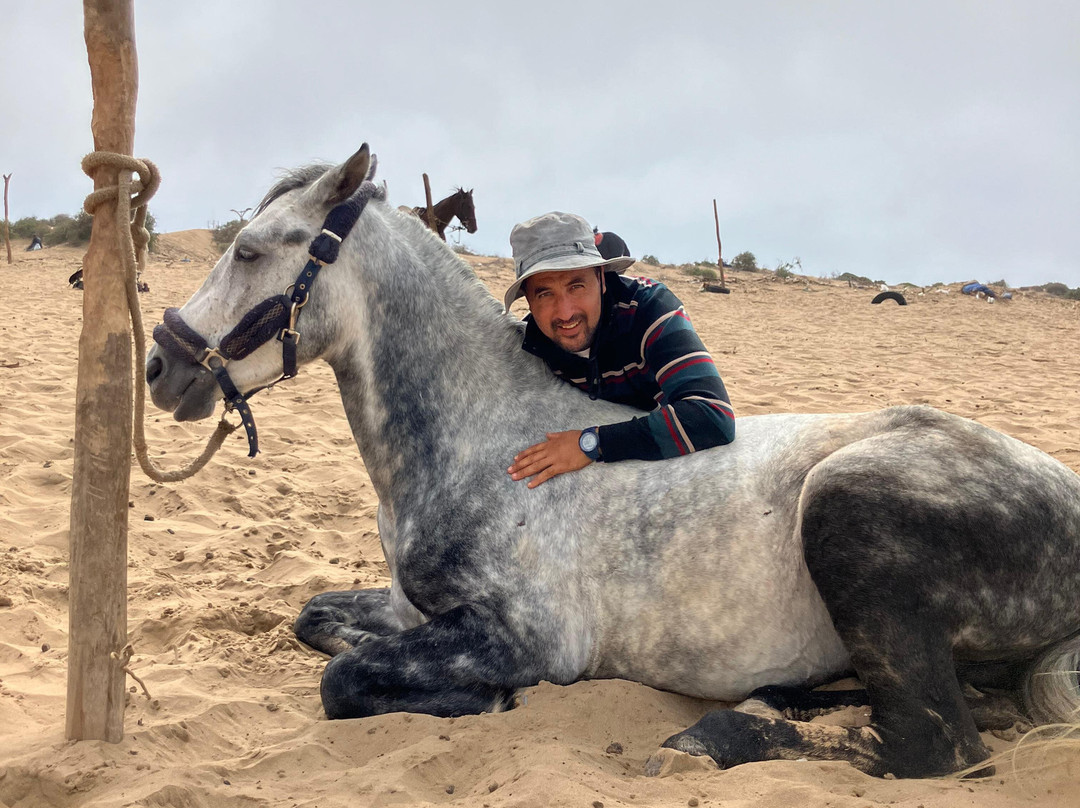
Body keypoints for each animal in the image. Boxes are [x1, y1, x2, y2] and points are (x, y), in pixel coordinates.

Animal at [145, 144, 1080, 780]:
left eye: (253, 249)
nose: (160, 367)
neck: (482, 443)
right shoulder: (414, 609)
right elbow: (317, 621)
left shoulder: (521, 636)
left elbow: (342, 682)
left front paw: (490, 698)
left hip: (846, 504)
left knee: (934, 745)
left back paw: (719, 735)